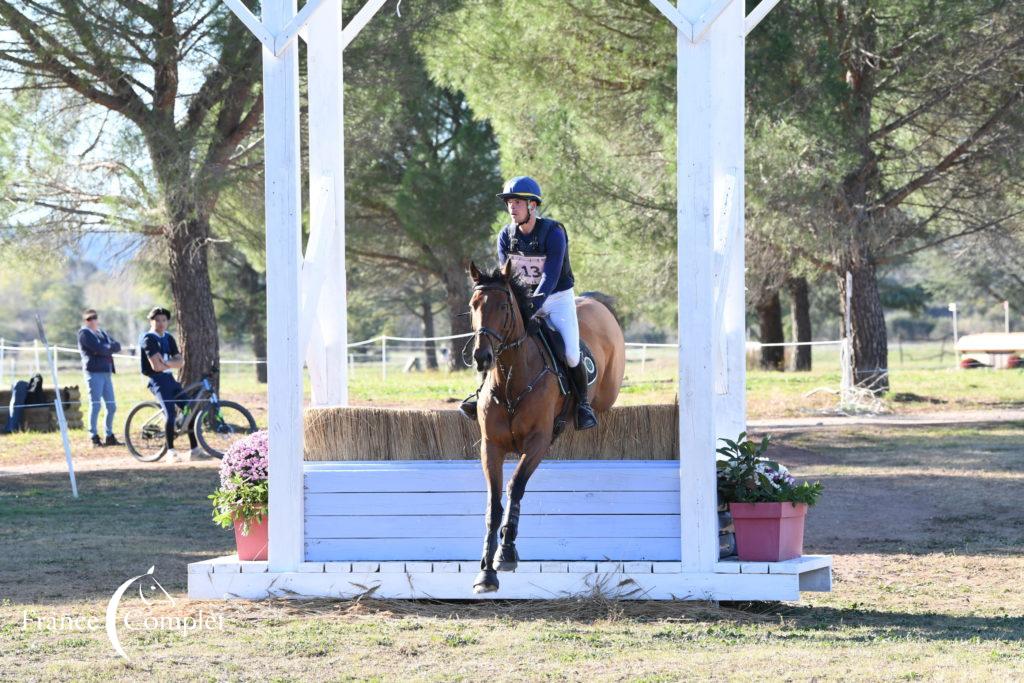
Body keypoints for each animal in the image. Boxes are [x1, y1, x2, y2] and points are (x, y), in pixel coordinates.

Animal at [468, 262, 626, 593]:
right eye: (473, 305)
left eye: (503, 306)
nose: (481, 357)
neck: (511, 378)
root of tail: (593, 302)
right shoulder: (491, 446)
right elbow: (494, 504)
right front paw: (486, 572)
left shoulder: (538, 443)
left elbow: (515, 487)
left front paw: (506, 553)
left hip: (607, 389)